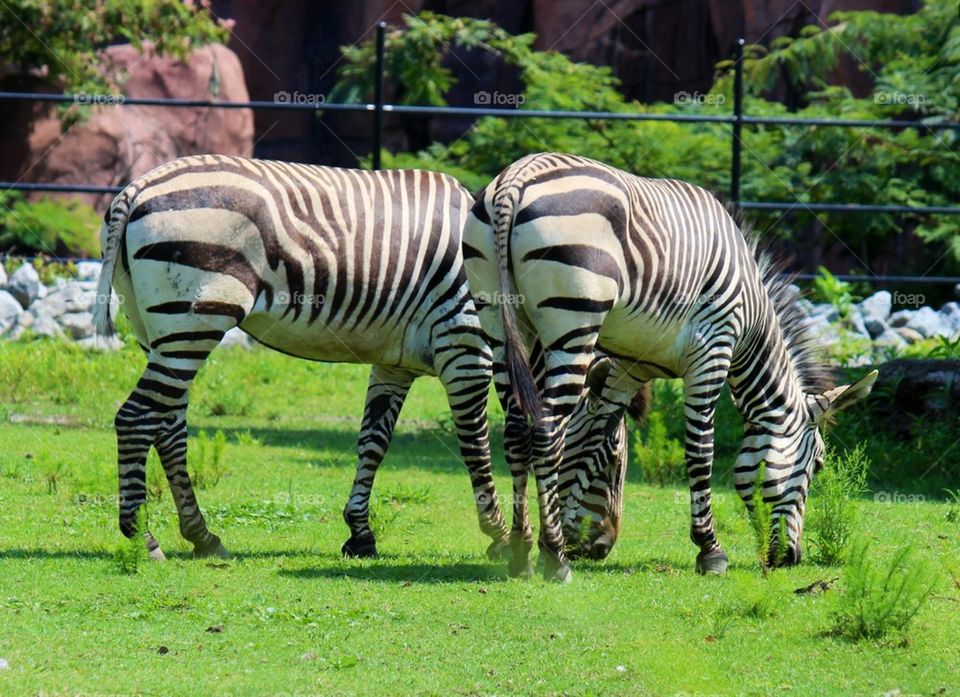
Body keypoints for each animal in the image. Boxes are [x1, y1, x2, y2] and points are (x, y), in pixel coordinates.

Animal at [92, 153, 633, 564]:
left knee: (167, 425)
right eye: (612, 459)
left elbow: (372, 442)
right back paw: (144, 537)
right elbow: (476, 445)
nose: (603, 548)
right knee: (136, 418)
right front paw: (498, 534)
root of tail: (134, 189)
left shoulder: (394, 364)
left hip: (160, 330)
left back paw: (202, 535)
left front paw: (360, 533)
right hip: (191, 322)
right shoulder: (466, 349)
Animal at [464, 152, 876, 582]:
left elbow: (600, 436)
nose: (790, 559)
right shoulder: (713, 350)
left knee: (515, 432)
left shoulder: (629, 369)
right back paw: (555, 560)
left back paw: (521, 551)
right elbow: (700, 451)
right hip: (573, 321)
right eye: (817, 465)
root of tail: (517, 176)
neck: (752, 321)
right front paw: (710, 551)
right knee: (545, 433)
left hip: (500, 319)